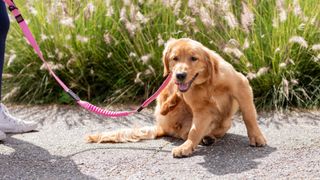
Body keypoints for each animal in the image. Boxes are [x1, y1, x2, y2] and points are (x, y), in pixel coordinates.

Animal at [86, 38, 266, 158]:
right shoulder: (201, 110)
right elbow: (194, 131)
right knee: (178, 116)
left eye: (193, 58)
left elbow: (249, 116)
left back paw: (207, 137)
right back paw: (171, 106)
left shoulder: (241, 86)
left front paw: (257, 137)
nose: (180, 75)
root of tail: (162, 127)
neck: (206, 83)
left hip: (224, 122)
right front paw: (187, 147)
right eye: (175, 58)